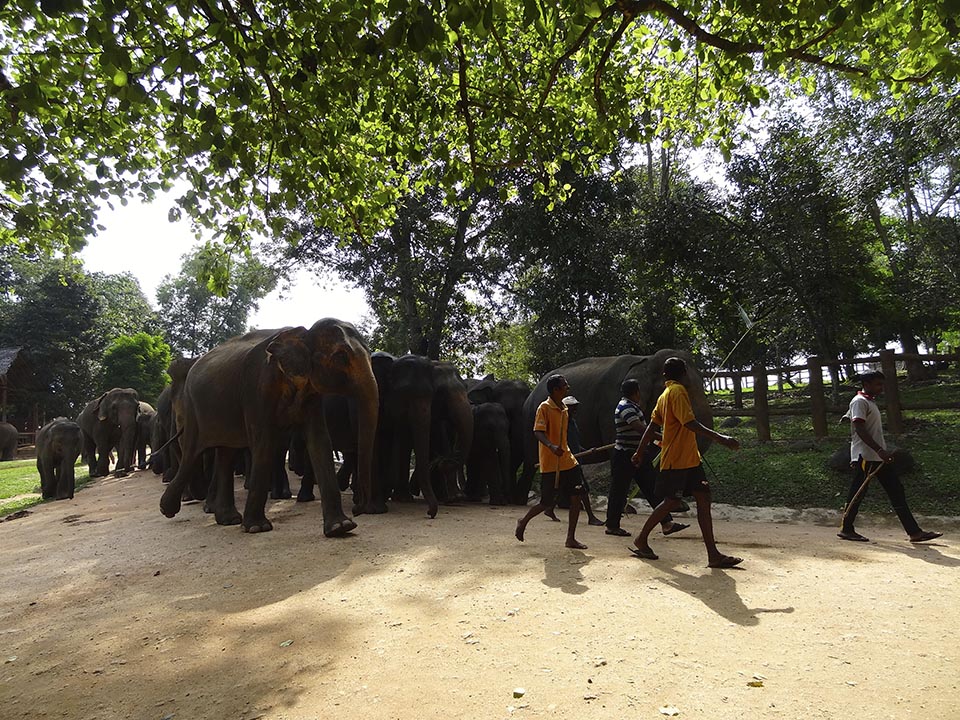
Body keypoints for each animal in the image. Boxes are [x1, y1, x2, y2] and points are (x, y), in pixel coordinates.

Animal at [159, 318, 379, 536]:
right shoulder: (257, 388)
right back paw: (168, 509)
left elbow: (320, 441)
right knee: (192, 452)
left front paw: (341, 527)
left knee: (225, 455)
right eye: (340, 356)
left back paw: (228, 519)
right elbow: (264, 444)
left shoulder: (310, 394)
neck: (303, 333)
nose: (359, 509)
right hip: (192, 409)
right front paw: (257, 528)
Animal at [518, 350, 713, 504]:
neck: (647, 360)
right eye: (684, 389)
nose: (685, 496)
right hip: (531, 421)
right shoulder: (611, 406)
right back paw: (523, 501)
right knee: (532, 463)